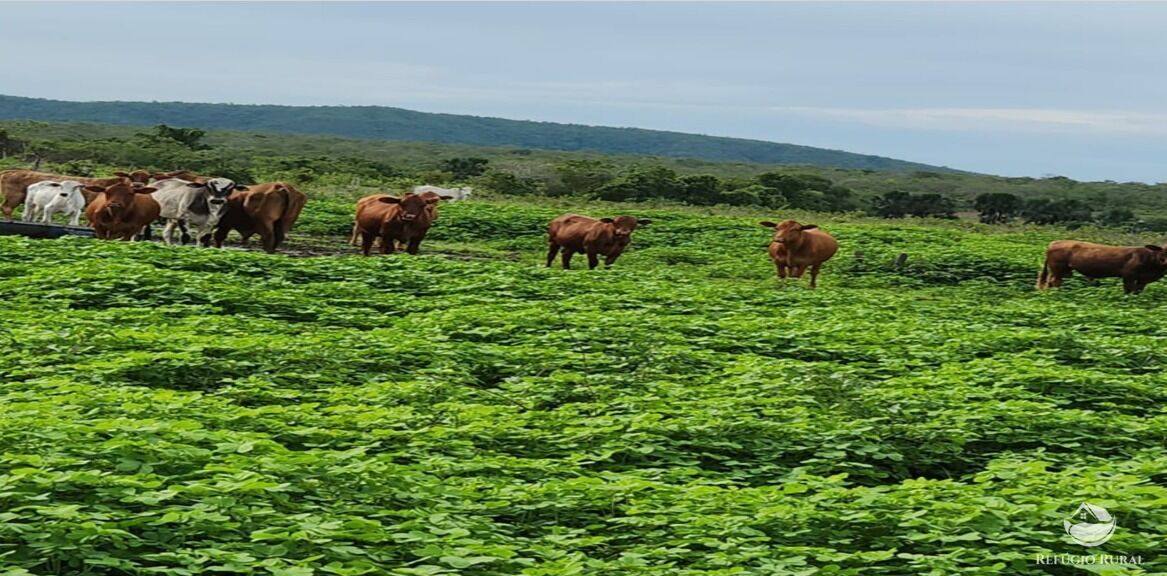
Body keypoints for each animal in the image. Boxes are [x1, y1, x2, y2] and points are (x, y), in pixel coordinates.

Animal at [0, 169, 152, 220]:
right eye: (131, 177)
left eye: (147, 178)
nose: (138, 185)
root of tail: (8, 171)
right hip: (14, 197)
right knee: (7, 208)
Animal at [1036, 240, 1167, 294]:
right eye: (1162, 251)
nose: (1164, 261)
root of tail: (1054, 242)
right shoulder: (1128, 275)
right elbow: (1128, 290)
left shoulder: (1143, 279)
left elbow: (1137, 291)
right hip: (1058, 269)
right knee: (1054, 283)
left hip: (1061, 271)